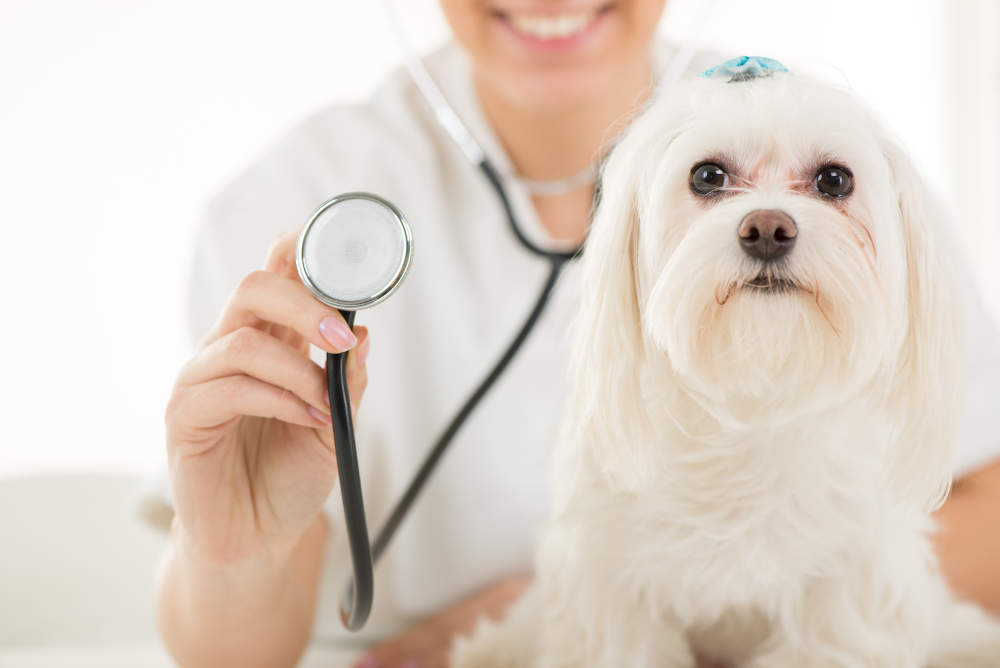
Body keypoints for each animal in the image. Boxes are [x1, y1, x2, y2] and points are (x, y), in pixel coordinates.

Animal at [452, 60, 1000, 664]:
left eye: (835, 180)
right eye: (708, 176)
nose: (767, 228)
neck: (754, 398)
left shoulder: (851, 596)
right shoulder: (606, 585)